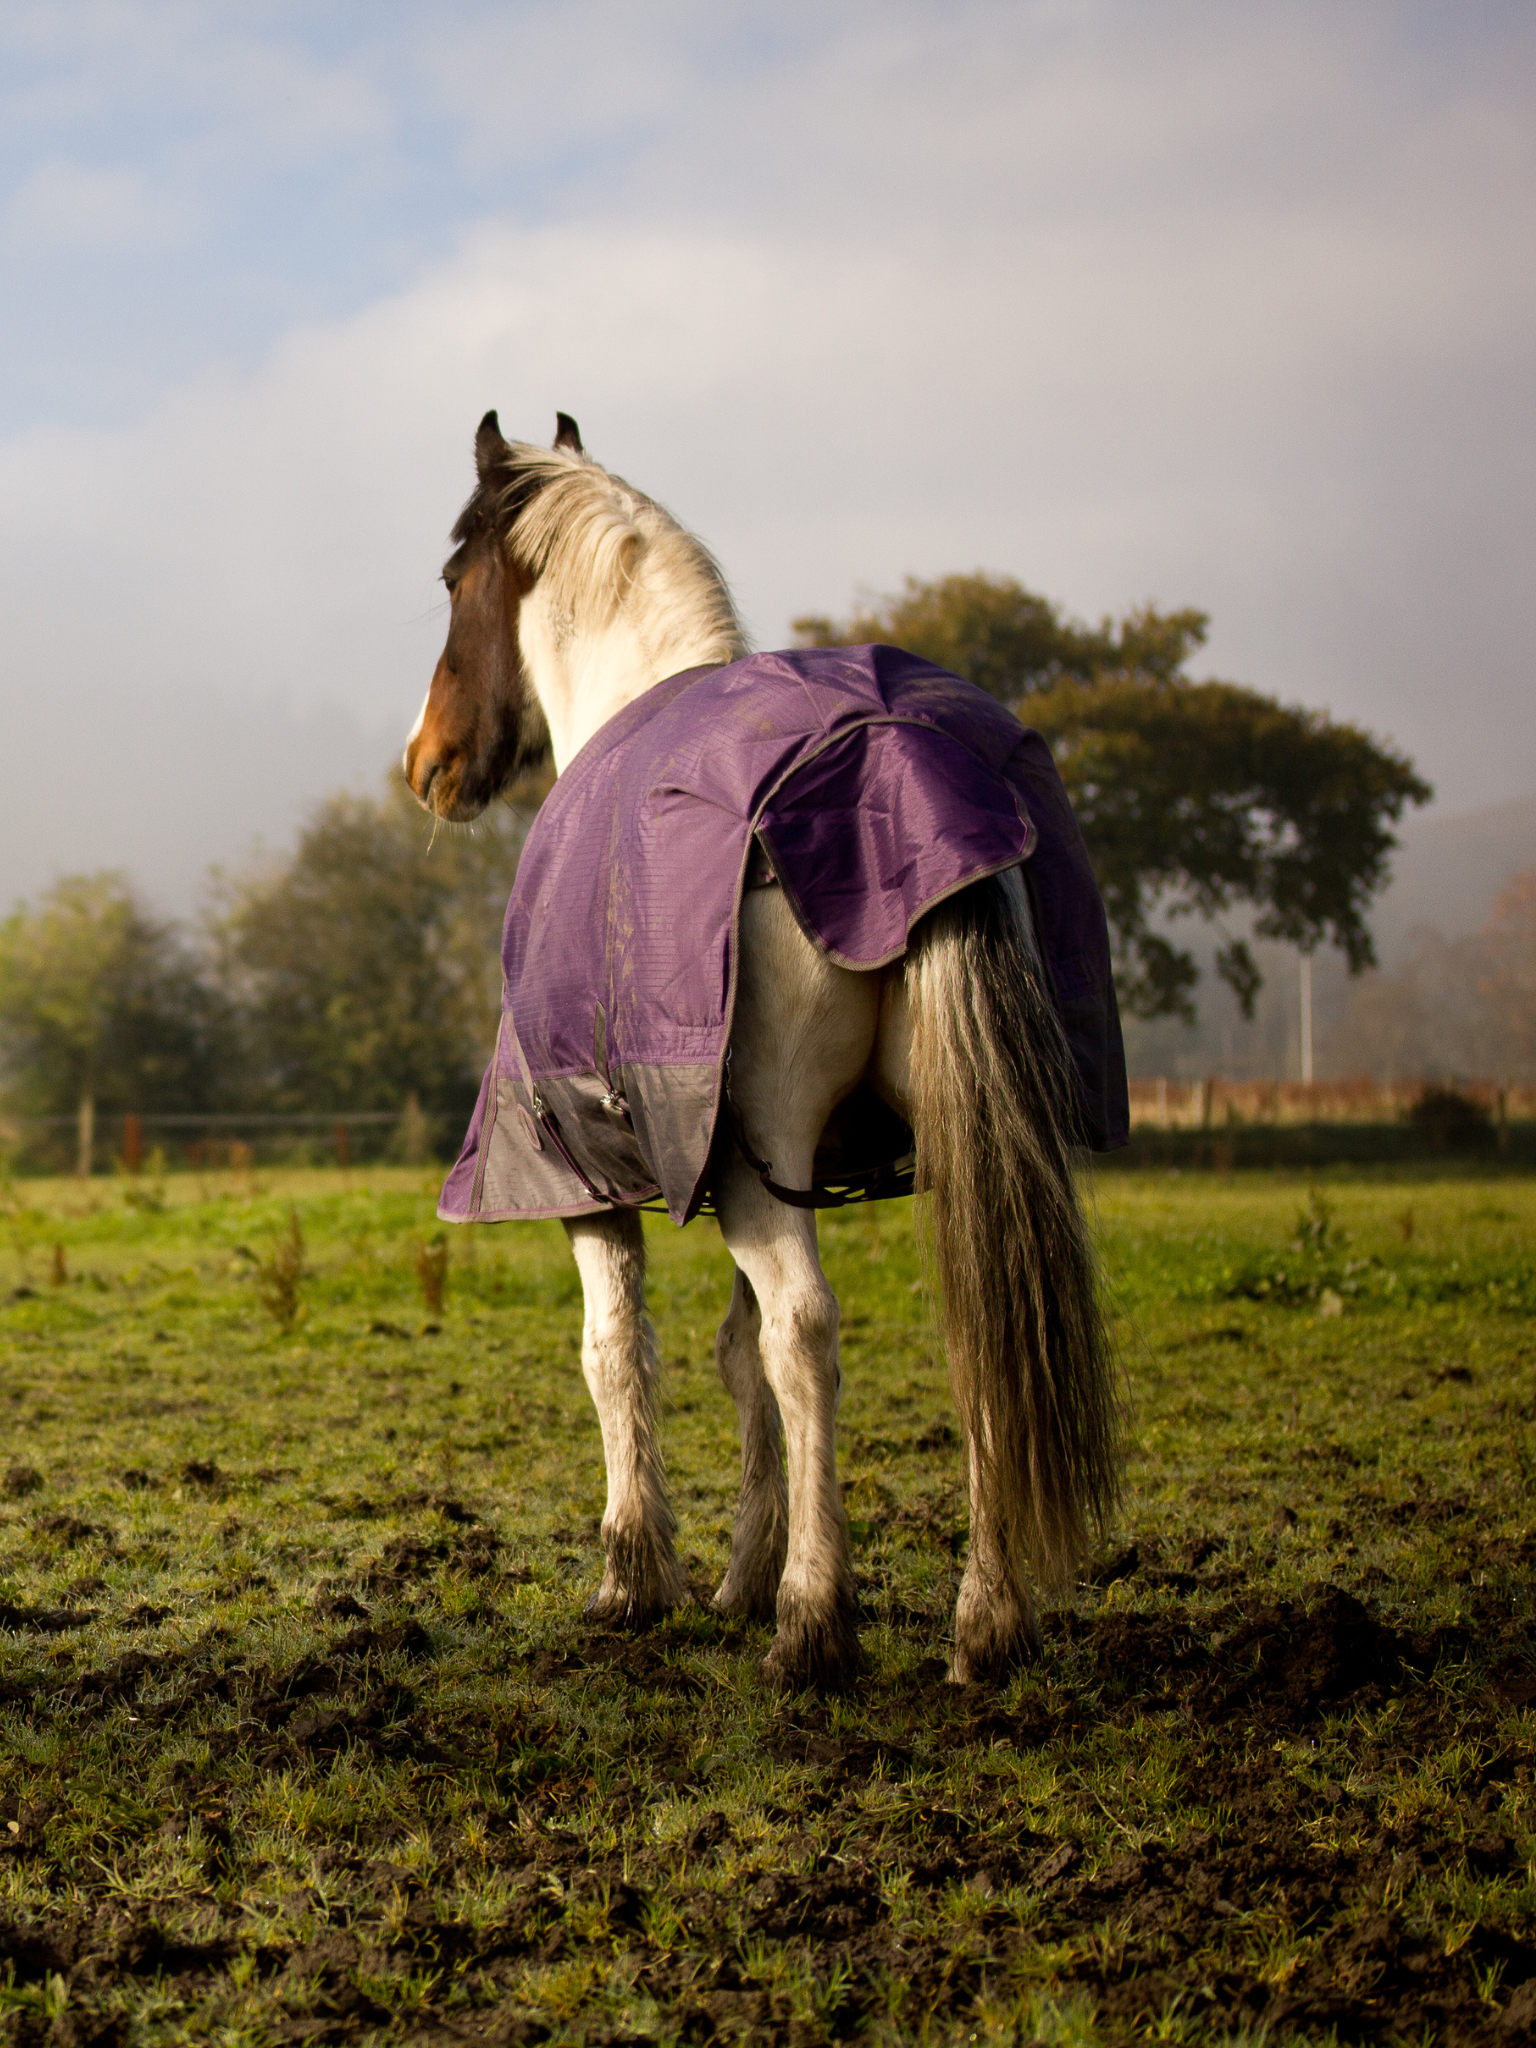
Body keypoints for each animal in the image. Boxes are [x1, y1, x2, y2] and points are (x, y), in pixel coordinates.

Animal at [403, 409, 1124, 1690]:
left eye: (451, 582)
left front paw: (636, 1576)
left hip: (759, 1152)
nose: (425, 760)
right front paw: (738, 1572)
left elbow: (621, 1350)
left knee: (807, 1338)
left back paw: (814, 1619)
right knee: (982, 1331)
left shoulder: (596, 1170)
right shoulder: (747, 1171)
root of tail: (905, 768)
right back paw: (985, 1619)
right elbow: (734, 1357)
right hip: (948, 1145)